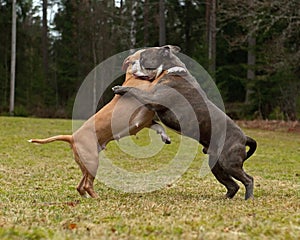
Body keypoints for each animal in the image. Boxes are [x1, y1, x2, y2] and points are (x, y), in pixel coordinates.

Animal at [29, 53, 170, 199]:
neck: (133, 76)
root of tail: (72, 137)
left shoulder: (147, 122)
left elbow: (159, 127)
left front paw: (165, 137)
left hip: (86, 164)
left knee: (80, 185)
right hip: (93, 161)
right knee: (87, 184)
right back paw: (96, 197)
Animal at [113, 46, 256, 200]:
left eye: (143, 57)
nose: (131, 62)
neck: (170, 69)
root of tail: (244, 137)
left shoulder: (153, 99)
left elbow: (135, 90)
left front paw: (120, 88)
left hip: (228, 162)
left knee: (248, 179)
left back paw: (248, 199)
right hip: (216, 164)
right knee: (233, 185)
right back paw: (226, 198)